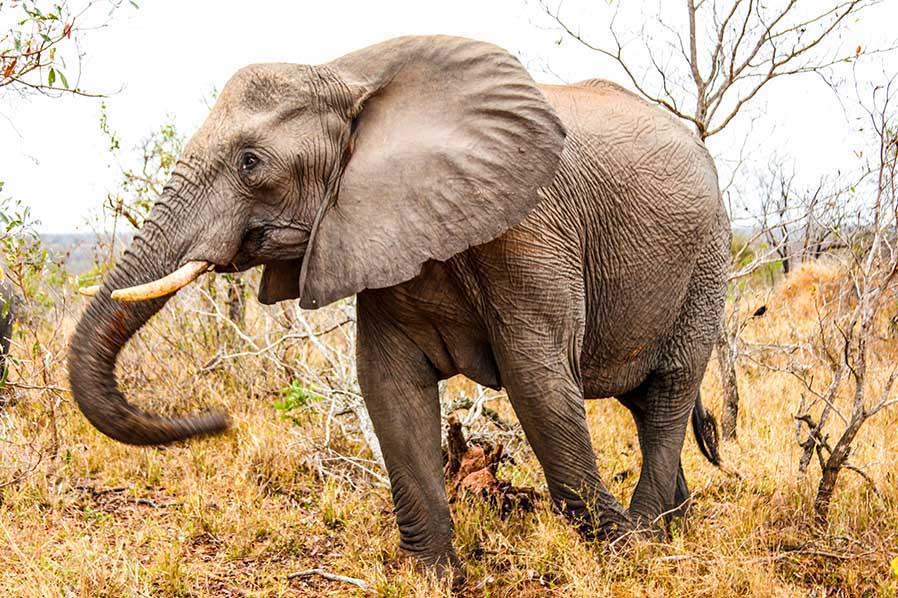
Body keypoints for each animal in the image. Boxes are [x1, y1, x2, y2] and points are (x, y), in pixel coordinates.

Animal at [68, 36, 728, 580]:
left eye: (251, 162)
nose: (219, 420)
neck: (346, 74)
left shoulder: (531, 229)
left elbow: (537, 382)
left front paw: (618, 551)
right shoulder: (377, 227)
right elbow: (389, 384)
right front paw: (434, 577)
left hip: (707, 263)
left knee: (667, 395)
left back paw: (649, 537)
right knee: (646, 404)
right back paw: (674, 526)